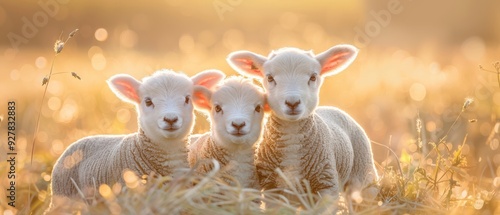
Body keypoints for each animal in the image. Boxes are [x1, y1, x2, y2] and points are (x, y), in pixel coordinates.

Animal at [227, 45, 378, 200]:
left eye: (313, 77)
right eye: (270, 78)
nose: (292, 103)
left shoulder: (327, 185)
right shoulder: (272, 188)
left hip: (364, 177)